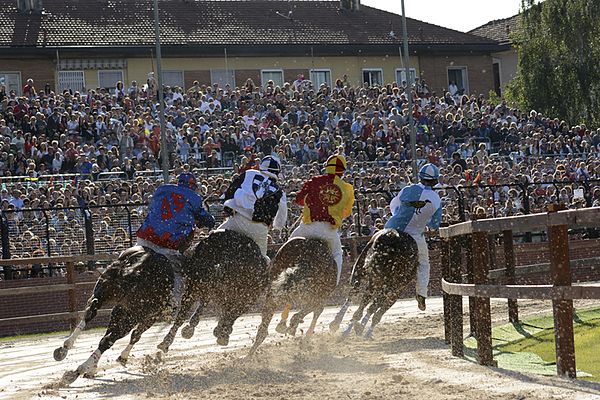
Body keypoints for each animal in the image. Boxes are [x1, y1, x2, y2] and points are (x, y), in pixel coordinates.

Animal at [55, 245, 178, 386]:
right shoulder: (148, 316)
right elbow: (134, 335)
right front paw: (121, 358)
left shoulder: (120, 309)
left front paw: (93, 368)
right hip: (133, 315)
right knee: (110, 338)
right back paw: (77, 371)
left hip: (103, 293)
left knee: (91, 313)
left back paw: (65, 348)